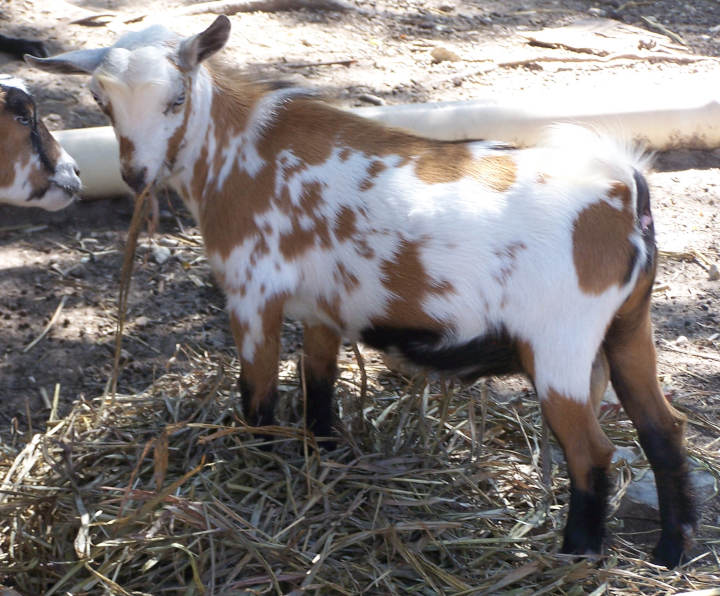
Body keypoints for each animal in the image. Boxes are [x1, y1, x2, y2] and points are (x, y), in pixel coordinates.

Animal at [28, 16, 696, 564]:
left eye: (176, 98)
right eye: (100, 101)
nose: (135, 174)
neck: (240, 149)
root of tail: (625, 190)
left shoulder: (252, 294)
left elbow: (259, 400)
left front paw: (260, 471)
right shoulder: (323, 308)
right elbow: (318, 386)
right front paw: (325, 454)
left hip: (560, 346)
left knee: (593, 454)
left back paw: (577, 552)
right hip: (629, 327)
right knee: (664, 428)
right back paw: (671, 550)